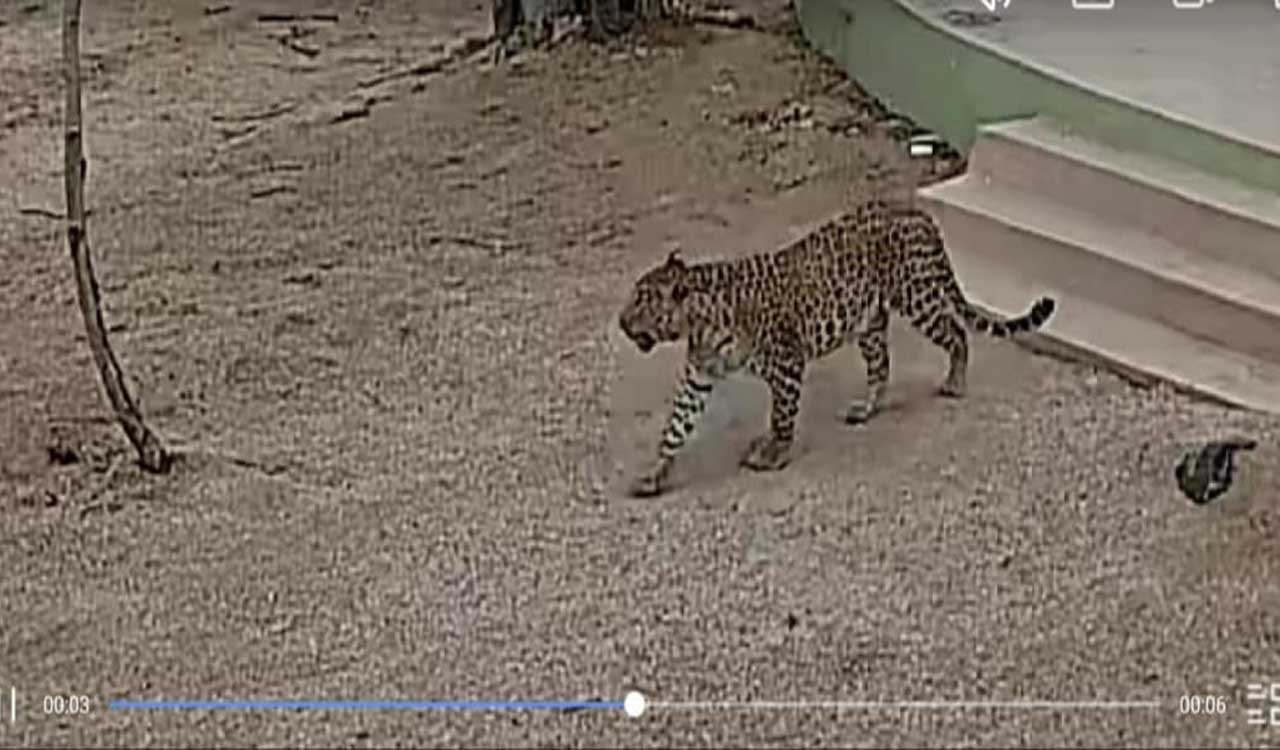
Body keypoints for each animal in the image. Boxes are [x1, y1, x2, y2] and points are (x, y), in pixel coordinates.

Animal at [617, 199, 1056, 498]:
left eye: (641, 301)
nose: (621, 322)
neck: (699, 322)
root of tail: (916, 211)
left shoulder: (787, 363)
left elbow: (782, 415)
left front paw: (774, 454)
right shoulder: (698, 376)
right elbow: (675, 427)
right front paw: (654, 474)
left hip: (917, 297)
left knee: (956, 332)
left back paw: (955, 381)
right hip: (870, 321)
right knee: (882, 365)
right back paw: (866, 408)